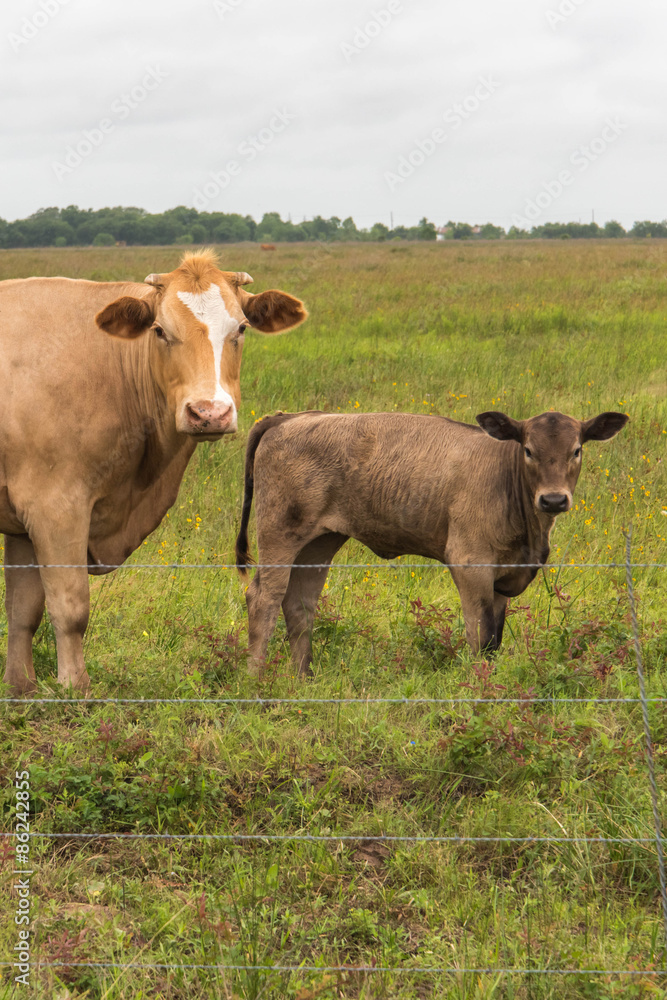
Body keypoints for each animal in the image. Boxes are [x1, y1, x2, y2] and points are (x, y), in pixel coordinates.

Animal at [0, 248, 308, 696]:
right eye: (160, 331)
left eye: (241, 328)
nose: (209, 413)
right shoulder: (55, 506)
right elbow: (69, 606)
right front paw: (76, 689)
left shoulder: (23, 518)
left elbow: (23, 610)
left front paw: (20, 689)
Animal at [237, 410, 628, 676]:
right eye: (529, 450)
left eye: (577, 450)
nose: (553, 500)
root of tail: (288, 418)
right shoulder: (471, 565)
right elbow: (481, 635)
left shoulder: (502, 579)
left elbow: (496, 640)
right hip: (279, 535)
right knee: (264, 597)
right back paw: (256, 677)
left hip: (319, 543)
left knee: (300, 603)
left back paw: (303, 677)